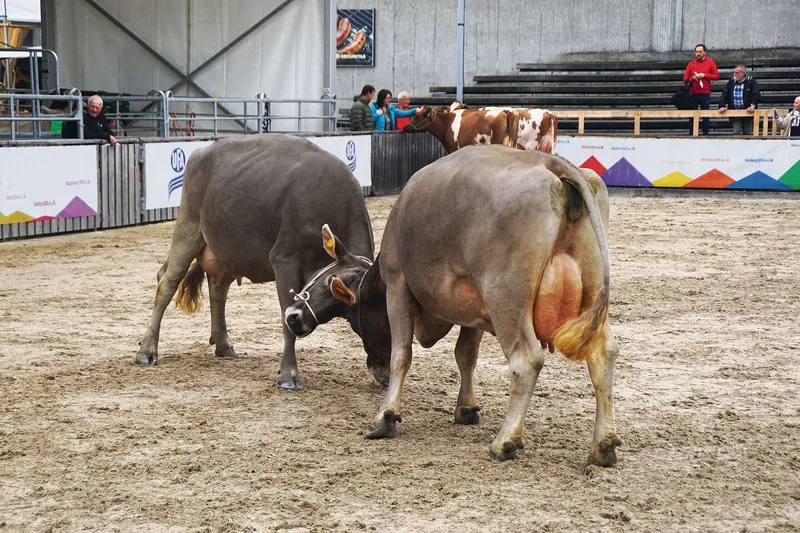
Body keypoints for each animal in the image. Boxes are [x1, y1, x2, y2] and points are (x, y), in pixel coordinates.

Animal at [136, 134, 386, 391]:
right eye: (331, 284)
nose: (383, 369)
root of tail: (202, 151)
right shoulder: (284, 259)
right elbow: (285, 318)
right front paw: (288, 374)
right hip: (189, 225)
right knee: (168, 282)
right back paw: (147, 350)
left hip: (229, 248)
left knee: (216, 287)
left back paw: (223, 344)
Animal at [285, 145, 622, 466]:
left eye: (326, 284)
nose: (293, 314)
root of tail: (550, 163)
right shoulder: (474, 310)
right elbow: (465, 356)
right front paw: (466, 407)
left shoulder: (399, 288)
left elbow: (401, 355)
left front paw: (386, 416)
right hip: (589, 296)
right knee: (603, 355)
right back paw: (603, 444)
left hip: (505, 300)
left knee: (526, 360)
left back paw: (505, 441)